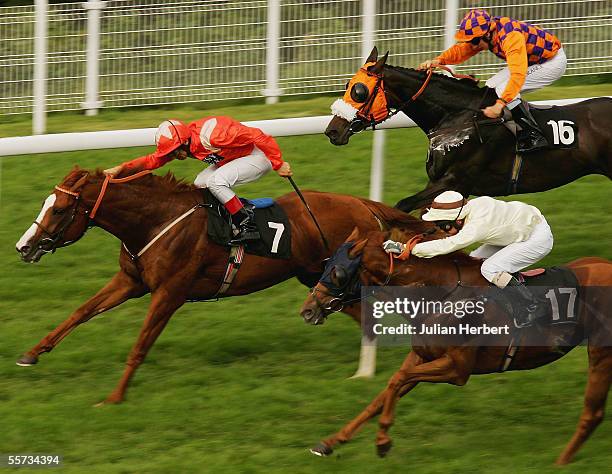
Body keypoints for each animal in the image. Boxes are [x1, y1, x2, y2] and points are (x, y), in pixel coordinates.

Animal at [14, 167, 416, 404]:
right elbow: (81, 311)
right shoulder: (131, 280)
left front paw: (114, 397)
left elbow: (140, 345)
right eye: (48, 203)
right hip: (319, 279)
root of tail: (362, 205)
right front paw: (30, 354)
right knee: (363, 315)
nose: (24, 247)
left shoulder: (169, 292)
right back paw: (367, 368)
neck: (155, 220)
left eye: (60, 210)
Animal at [298, 228, 608, 464]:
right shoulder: (422, 357)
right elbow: (385, 392)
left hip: (601, 351)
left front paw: (383, 440)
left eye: (337, 273)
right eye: (325, 264)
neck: (439, 295)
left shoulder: (457, 368)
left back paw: (561, 462)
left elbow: (397, 380)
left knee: (593, 412)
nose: (307, 311)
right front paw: (329, 442)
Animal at [326, 47, 612, 211]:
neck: (457, 118)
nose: (332, 130)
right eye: (349, 85)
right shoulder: (441, 183)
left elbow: (403, 205)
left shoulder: (457, 180)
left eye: (359, 91)